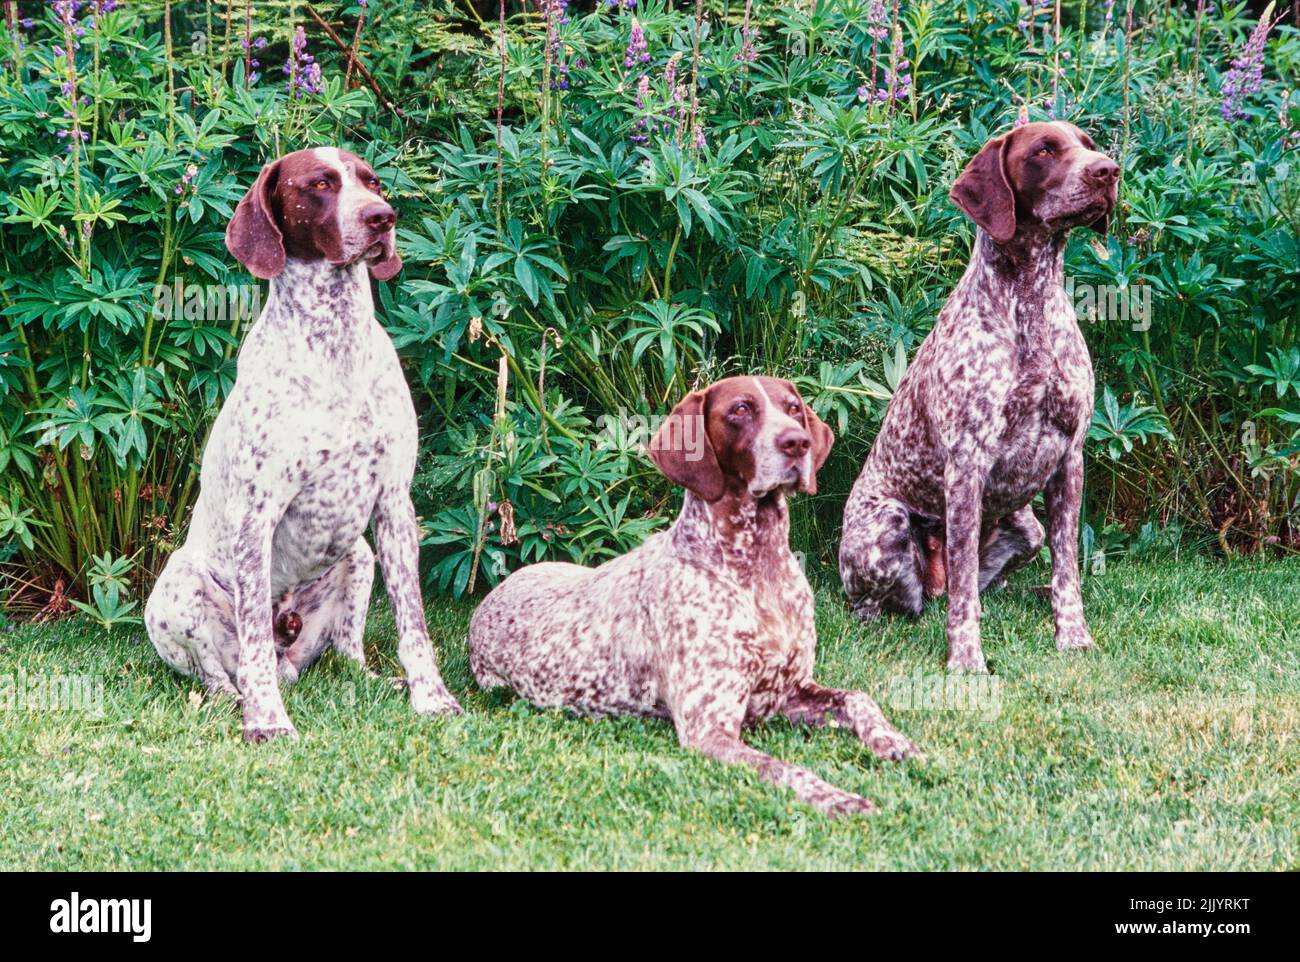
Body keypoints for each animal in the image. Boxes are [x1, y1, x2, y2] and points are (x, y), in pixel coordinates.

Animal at [146, 148, 462, 743]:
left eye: (372, 182)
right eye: (319, 185)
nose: (382, 218)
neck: (336, 342)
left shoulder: (394, 503)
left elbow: (413, 624)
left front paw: (431, 698)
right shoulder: (256, 516)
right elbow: (249, 641)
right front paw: (267, 721)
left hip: (360, 557)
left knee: (346, 653)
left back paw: (376, 681)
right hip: (175, 589)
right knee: (221, 668)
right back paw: (234, 697)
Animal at [467, 379, 915, 816]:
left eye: (792, 408)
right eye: (740, 409)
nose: (797, 442)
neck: (757, 568)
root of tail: (488, 600)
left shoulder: (788, 692)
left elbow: (859, 698)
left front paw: (893, 741)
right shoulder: (710, 729)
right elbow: (788, 770)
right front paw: (839, 798)